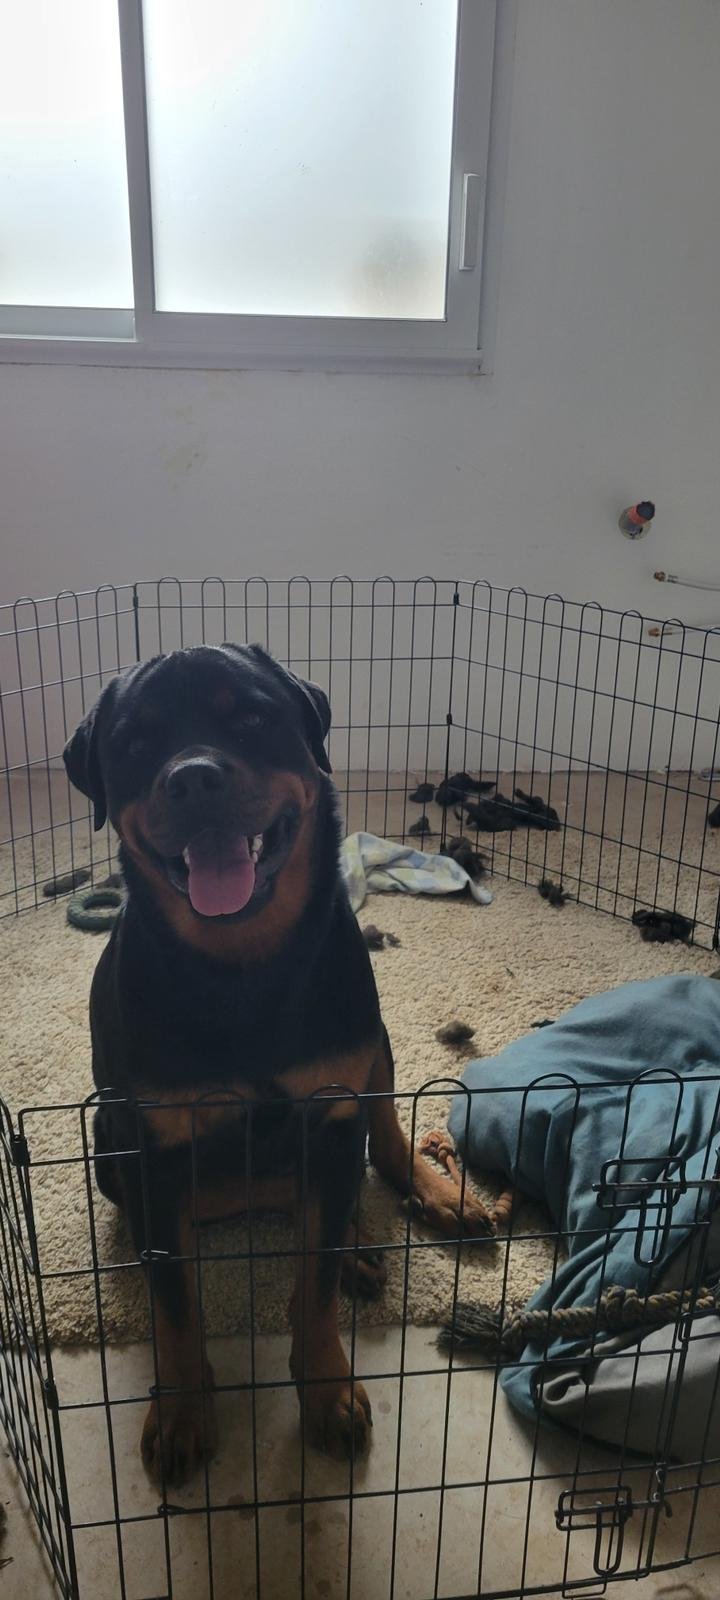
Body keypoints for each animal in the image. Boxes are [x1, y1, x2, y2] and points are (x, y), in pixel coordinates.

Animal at [64, 643, 493, 1484]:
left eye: (254, 718)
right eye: (134, 741)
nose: (193, 777)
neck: (242, 966)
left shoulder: (331, 1102)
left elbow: (317, 1278)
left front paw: (326, 1388)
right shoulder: (154, 1143)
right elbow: (176, 1300)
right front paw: (182, 1409)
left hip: (374, 1044)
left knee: (376, 1146)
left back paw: (422, 1203)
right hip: (109, 1140)